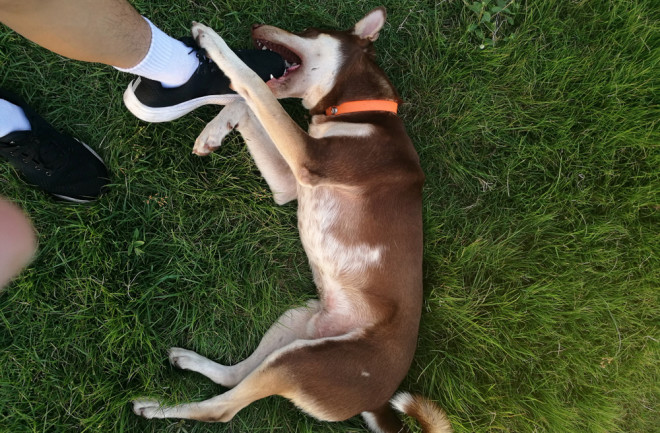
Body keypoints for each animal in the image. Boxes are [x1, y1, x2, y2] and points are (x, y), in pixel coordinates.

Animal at [131, 6, 452, 432]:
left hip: (302, 363)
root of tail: (381, 402)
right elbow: (254, 101)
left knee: (223, 409)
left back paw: (156, 408)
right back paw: (187, 362)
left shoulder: (310, 160)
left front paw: (213, 42)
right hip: (299, 320)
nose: (254, 25)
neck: (358, 111)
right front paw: (217, 125)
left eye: (310, 30)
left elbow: (254, 86)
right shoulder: (290, 184)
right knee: (236, 376)